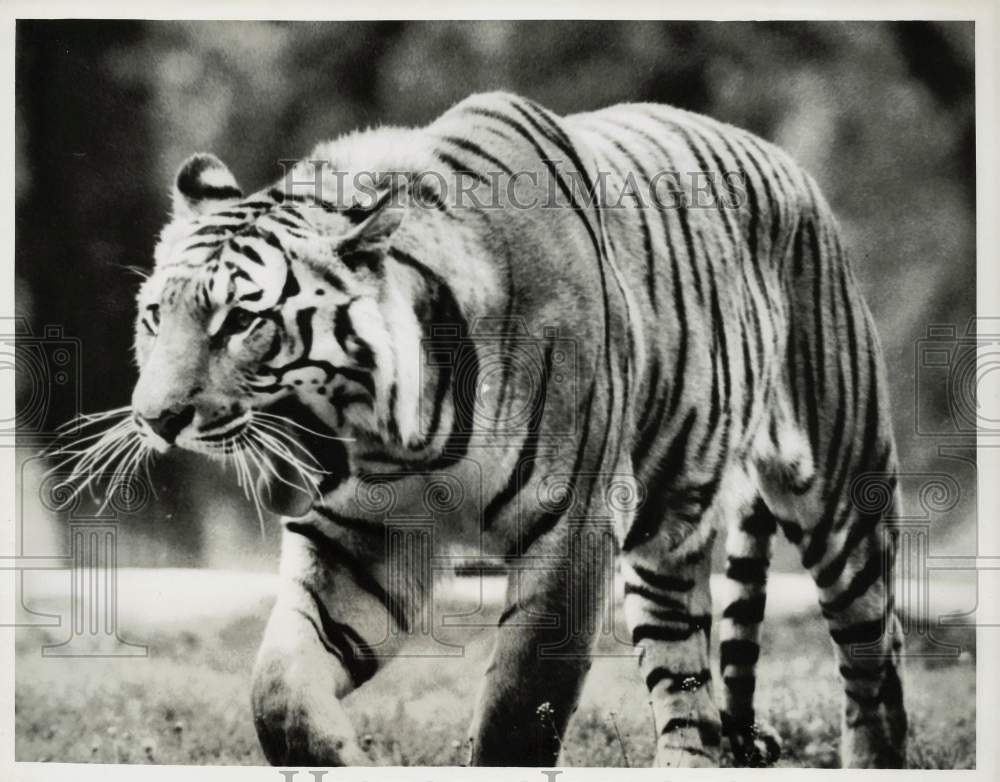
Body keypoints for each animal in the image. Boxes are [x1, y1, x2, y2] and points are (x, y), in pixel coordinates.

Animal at [111, 90, 908, 764]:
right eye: (155, 316)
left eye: (241, 323)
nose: (157, 418)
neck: (402, 437)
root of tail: (785, 161)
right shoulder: (360, 539)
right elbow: (279, 691)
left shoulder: (573, 528)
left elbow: (521, 711)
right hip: (665, 552)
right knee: (692, 701)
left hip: (843, 502)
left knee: (877, 664)